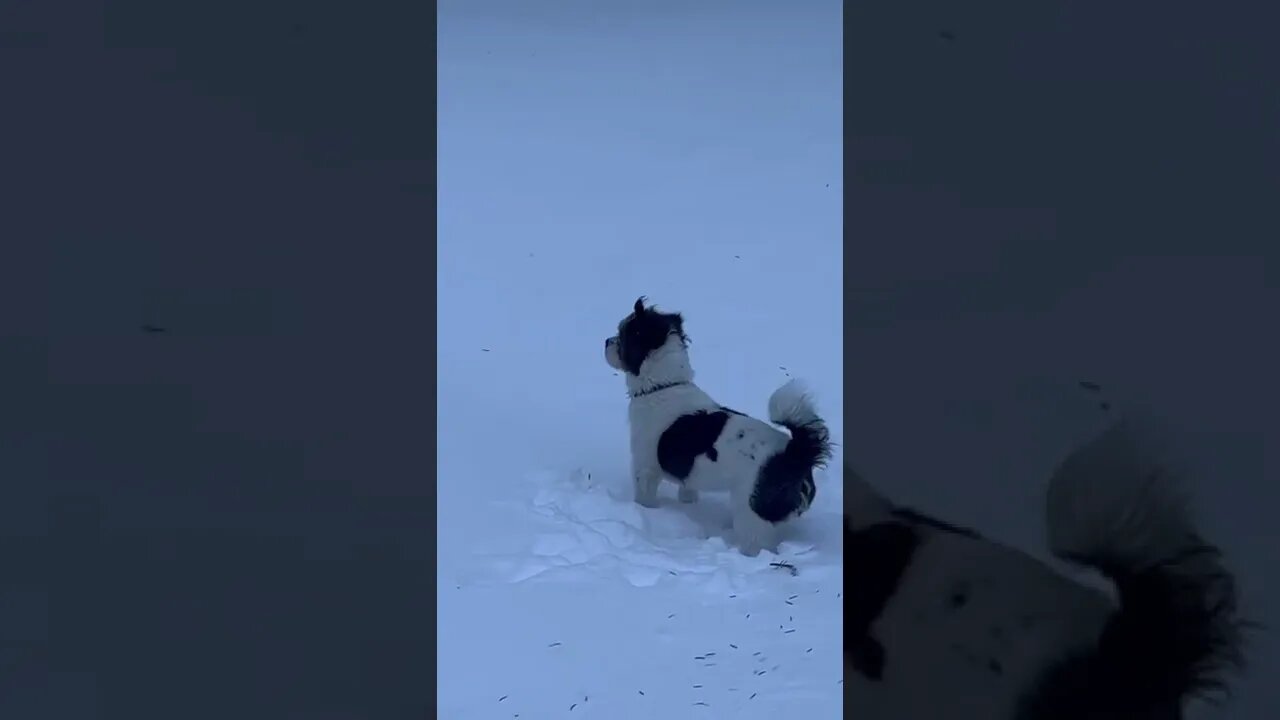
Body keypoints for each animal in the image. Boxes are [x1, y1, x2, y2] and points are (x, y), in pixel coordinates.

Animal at [604, 297, 834, 556]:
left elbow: (644, 497)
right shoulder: (688, 475)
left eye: (622, 334)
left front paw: (644, 512)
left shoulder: (645, 467)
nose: (606, 341)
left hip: (751, 512)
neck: (664, 386)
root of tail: (795, 452)